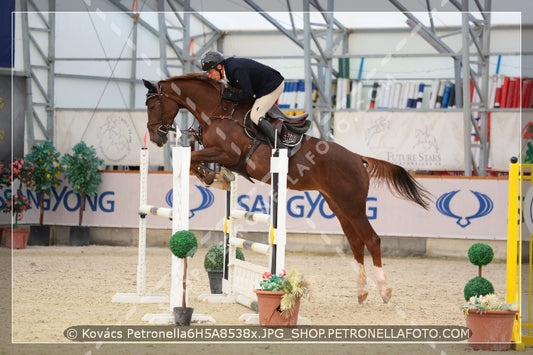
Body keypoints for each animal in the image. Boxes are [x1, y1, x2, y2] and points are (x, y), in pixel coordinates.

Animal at [143, 73, 430, 306]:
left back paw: (384, 291)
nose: (156, 137)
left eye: (152, 105)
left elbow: (192, 158)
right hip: (338, 206)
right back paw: (362, 292)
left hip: (353, 206)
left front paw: (213, 177)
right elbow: (195, 160)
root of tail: (358, 158)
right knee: (356, 243)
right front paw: (218, 177)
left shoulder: (226, 152)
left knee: (372, 240)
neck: (217, 110)